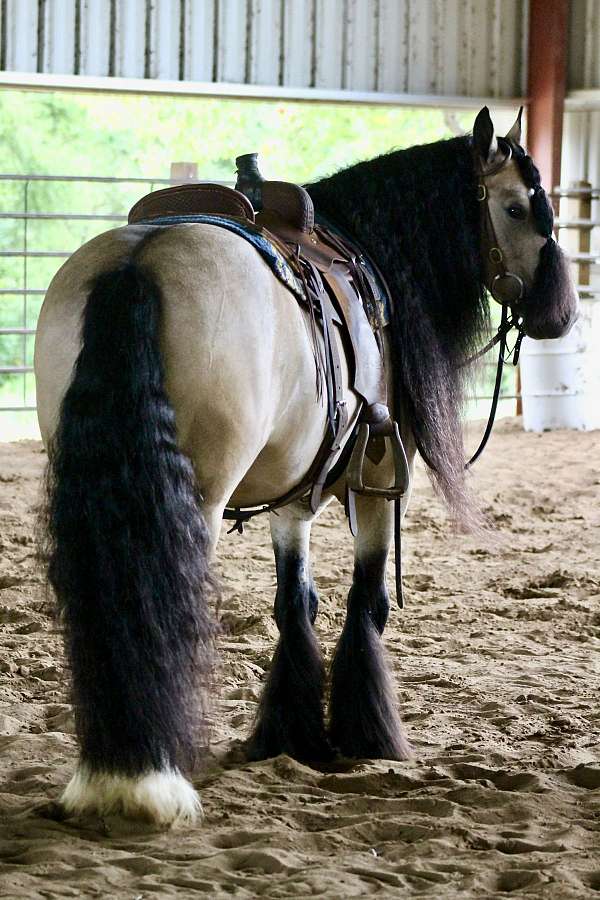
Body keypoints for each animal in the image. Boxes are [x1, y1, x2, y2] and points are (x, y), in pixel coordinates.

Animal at [32, 103, 576, 824]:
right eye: (517, 207)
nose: (560, 312)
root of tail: (137, 263)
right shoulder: (379, 481)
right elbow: (367, 599)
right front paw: (366, 732)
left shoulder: (294, 494)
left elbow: (295, 601)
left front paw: (290, 733)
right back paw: (151, 777)